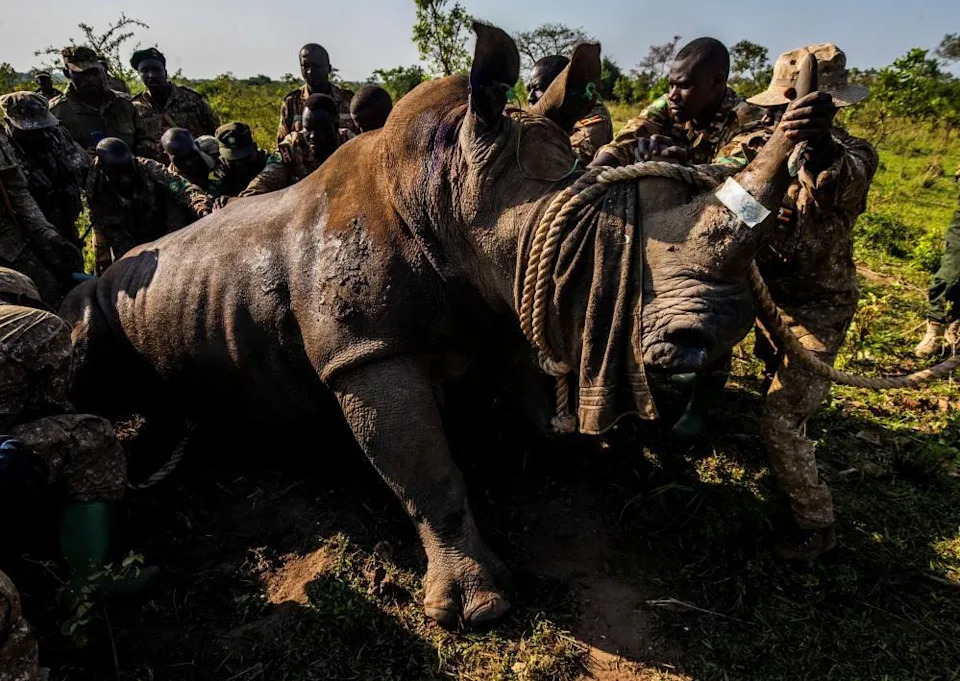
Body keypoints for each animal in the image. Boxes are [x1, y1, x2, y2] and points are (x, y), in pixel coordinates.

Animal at [62, 24, 830, 628]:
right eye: (600, 246)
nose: (714, 335)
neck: (448, 187)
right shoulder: (366, 353)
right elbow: (425, 470)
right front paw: (479, 608)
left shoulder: (500, 299)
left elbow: (527, 396)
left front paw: (588, 452)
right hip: (100, 298)